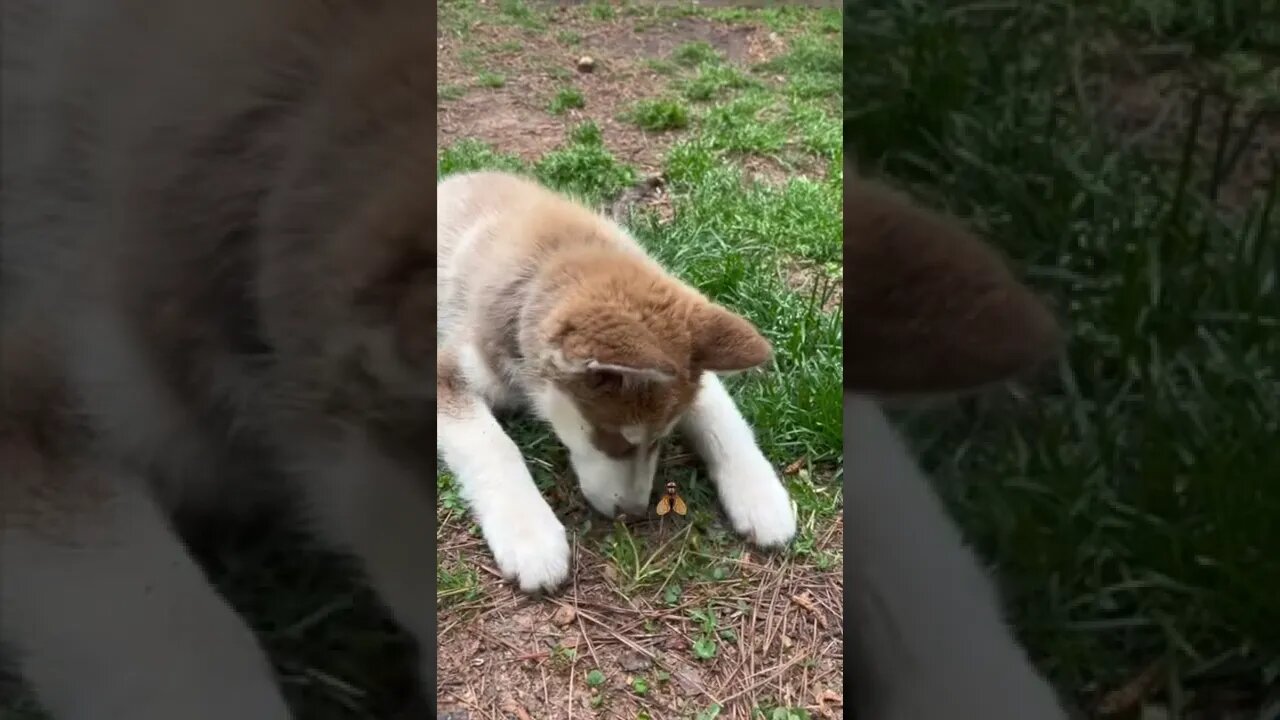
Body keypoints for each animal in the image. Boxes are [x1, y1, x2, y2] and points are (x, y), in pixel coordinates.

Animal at [440, 170, 793, 591]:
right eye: (612, 438)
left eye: (660, 439)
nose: (634, 513)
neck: (562, 254)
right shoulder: (448, 369)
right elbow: (493, 444)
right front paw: (530, 535)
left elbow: (725, 425)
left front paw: (762, 497)